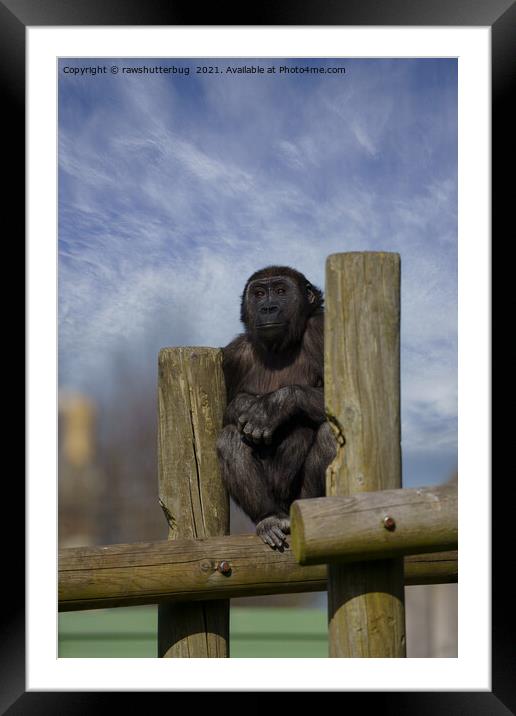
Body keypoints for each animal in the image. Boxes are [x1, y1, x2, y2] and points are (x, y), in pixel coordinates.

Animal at [216, 266, 336, 552]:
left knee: (330, 434)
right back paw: (268, 518)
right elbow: (224, 411)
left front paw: (271, 407)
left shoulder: (321, 330)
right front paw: (247, 405)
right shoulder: (232, 355)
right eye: (259, 294)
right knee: (229, 438)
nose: (268, 307)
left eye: (281, 291)